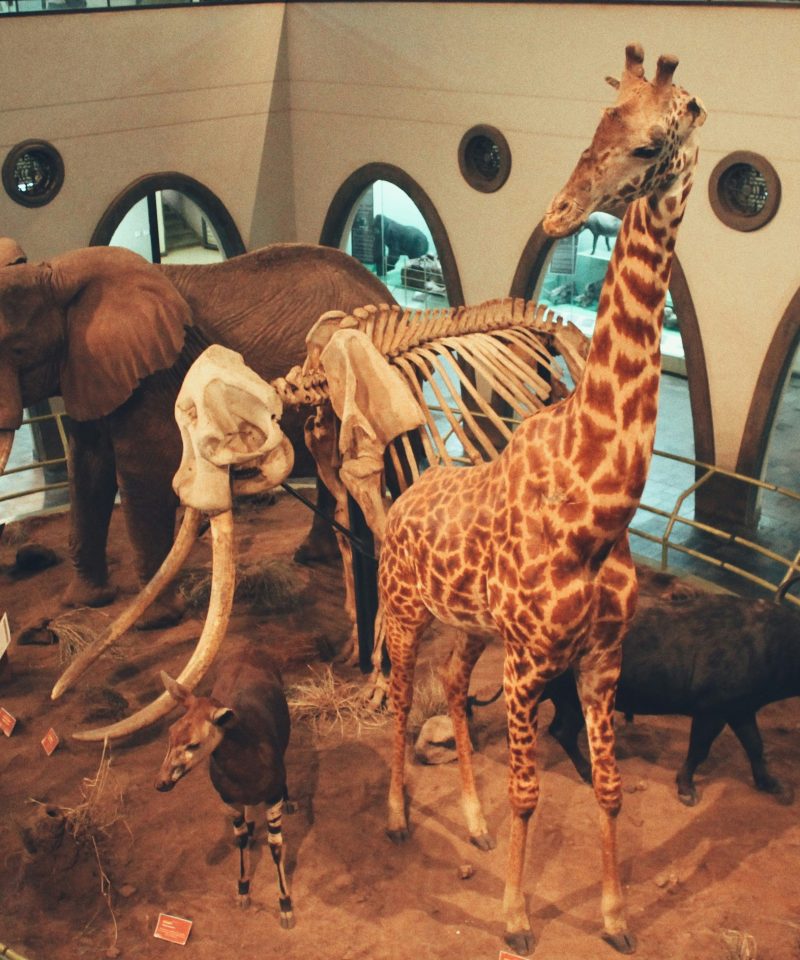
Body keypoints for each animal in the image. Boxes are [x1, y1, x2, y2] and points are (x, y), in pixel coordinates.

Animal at [0, 239, 395, 626]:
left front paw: (155, 621)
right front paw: (84, 602)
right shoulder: (90, 372)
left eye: (17, 349)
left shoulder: (154, 380)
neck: (52, 275)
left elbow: (142, 475)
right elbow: (86, 467)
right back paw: (312, 556)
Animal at [378, 44, 706, 956]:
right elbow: (531, 791)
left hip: (468, 626)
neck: (598, 503)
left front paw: (617, 916)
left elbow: (609, 790)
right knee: (400, 697)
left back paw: (471, 820)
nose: (559, 212)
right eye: (598, 123)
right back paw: (398, 814)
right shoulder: (529, 667)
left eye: (645, 146)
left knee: (451, 686)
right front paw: (517, 917)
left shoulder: (599, 665)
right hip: (406, 611)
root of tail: (402, 502)